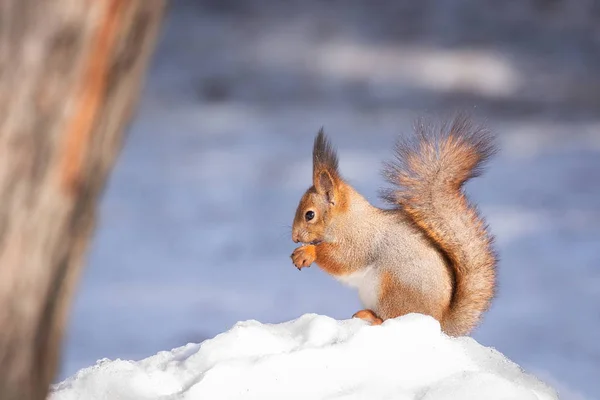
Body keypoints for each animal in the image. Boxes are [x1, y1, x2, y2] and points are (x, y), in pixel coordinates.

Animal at [290, 114, 496, 336]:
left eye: (310, 215)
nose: (294, 237)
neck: (348, 219)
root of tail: (439, 321)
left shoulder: (361, 240)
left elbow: (343, 259)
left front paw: (308, 252)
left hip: (394, 289)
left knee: (391, 317)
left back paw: (372, 317)